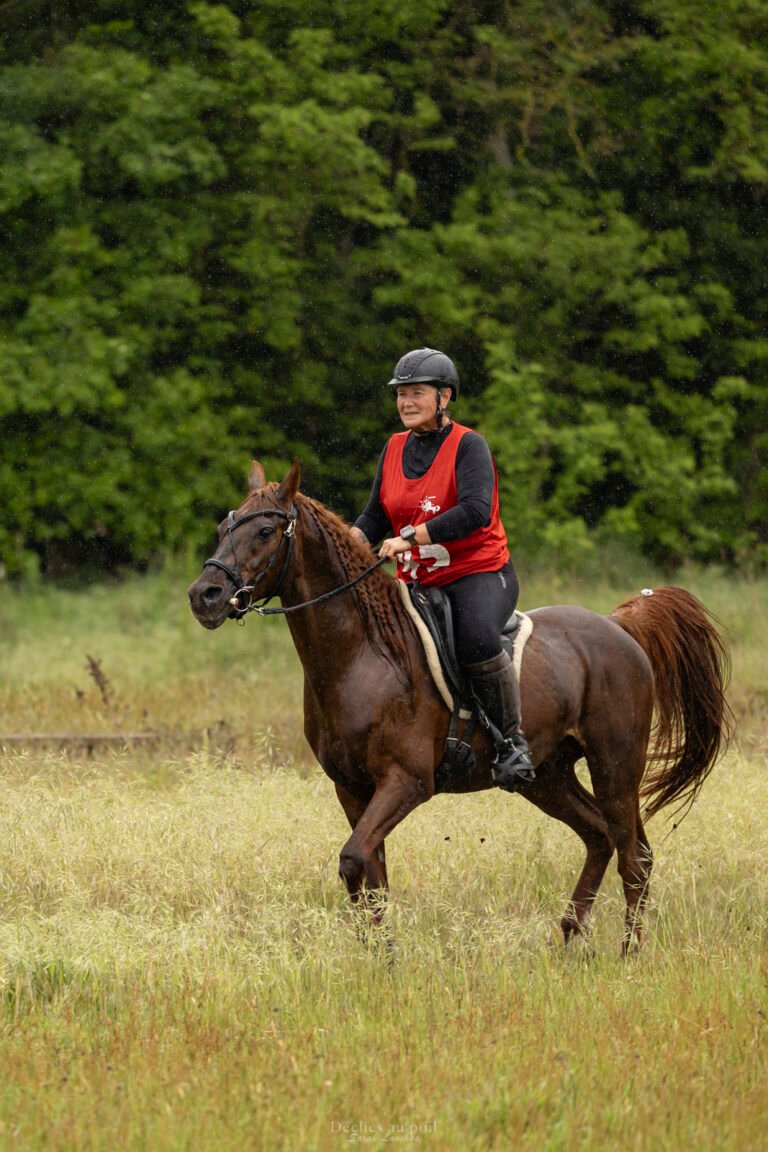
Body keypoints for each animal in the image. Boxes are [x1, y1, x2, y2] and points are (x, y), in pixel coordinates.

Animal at [187, 460, 732, 952]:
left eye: (264, 531)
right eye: (221, 529)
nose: (205, 596)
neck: (362, 653)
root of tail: (619, 627)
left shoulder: (407, 782)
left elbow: (354, 861)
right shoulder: (353, 789)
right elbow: (371, 875)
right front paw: (381, 961)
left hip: (616, 764)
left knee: (634, 853)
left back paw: (628, 953)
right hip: (548, 775)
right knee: (599, 836)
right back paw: (569, 938)